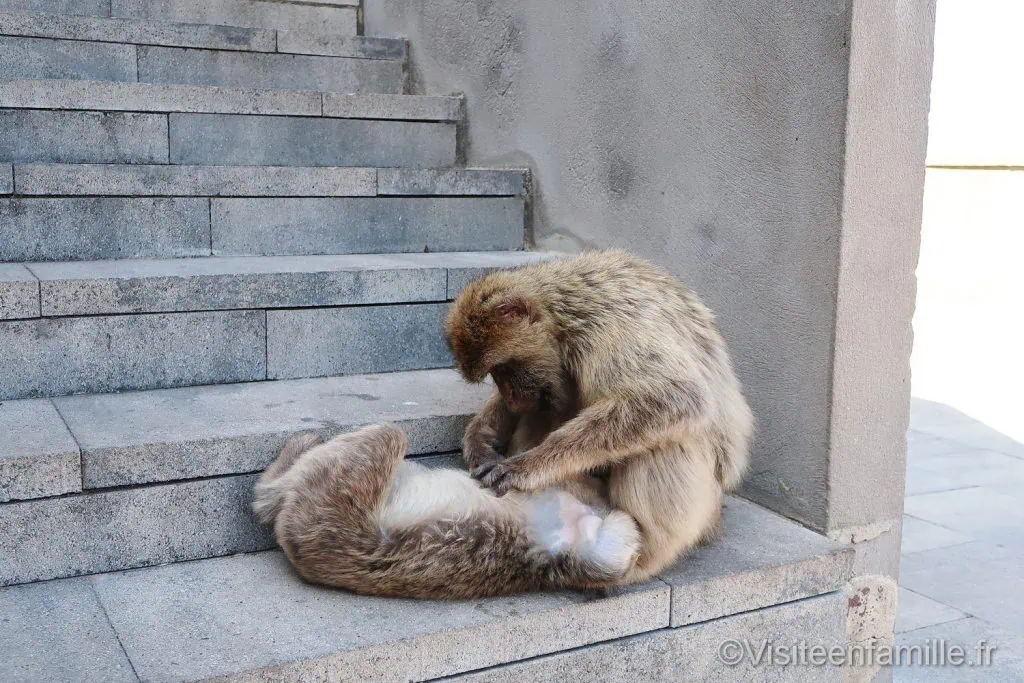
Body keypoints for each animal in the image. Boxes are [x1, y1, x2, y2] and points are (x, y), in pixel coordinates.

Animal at [445, 249, 754, 583]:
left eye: (502, 369)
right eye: (495, 374)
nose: (511, 396)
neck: (563, 314)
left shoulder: (610, 326)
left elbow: (675, 396)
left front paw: (525, 466)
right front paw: (479, 439)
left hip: (698, 511)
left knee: (669, 439)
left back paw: (636, 555)